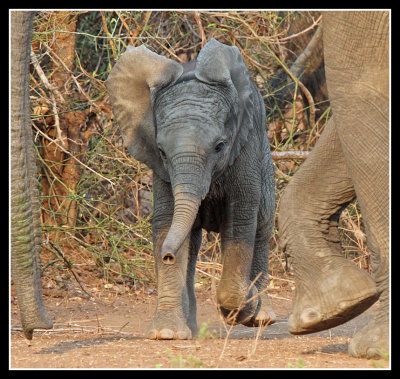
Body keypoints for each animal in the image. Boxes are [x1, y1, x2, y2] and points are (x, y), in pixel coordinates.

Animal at [106, 39, 276, 342]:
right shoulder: (161, 168)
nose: (167, 254)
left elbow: (241, 218)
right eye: (161, 151)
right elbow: (166, 221)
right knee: (193, 242)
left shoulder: (245, 149)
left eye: (220, 146)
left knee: (263, 225)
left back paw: (261, 317)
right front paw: (166, 333)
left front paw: (245, 306)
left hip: (265, 161)